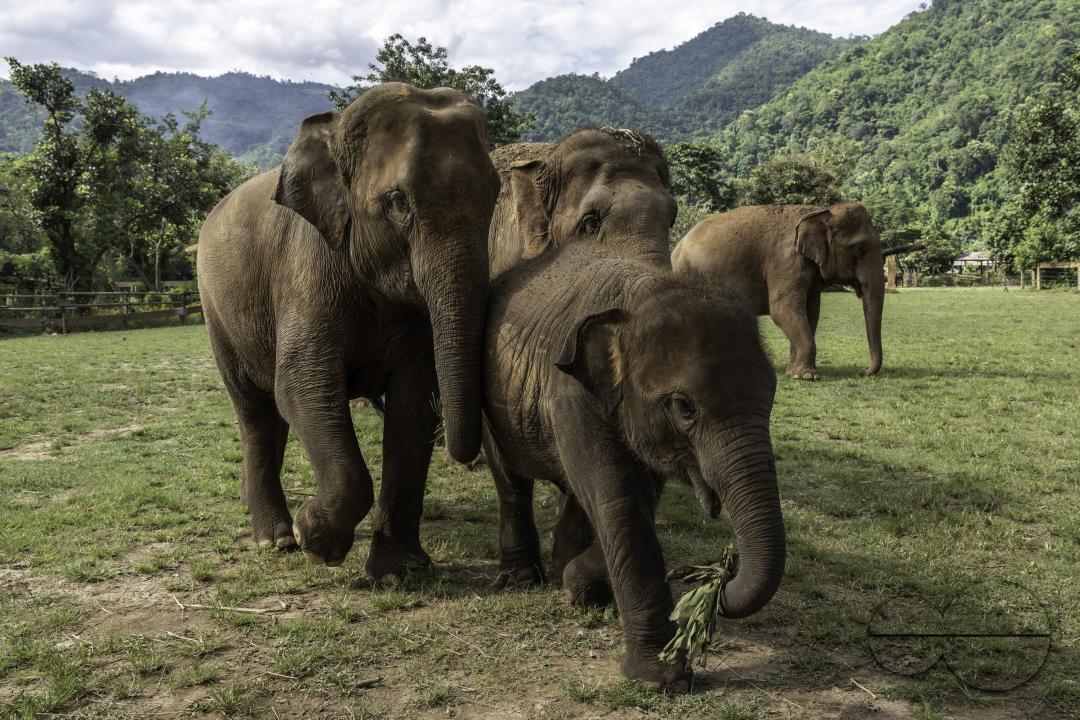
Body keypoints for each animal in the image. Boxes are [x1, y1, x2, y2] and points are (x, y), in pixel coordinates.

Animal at [196, 83, 500, 573]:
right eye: (398, 202)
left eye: (496, 193)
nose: (468, 460)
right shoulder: (307, 270)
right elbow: (302, 386)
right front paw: (314, 540)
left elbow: (414, 404)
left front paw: (400, 572)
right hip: (215, 311)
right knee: (254, 408)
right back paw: (275, 539)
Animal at [482, 241, 785, 690]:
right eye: (683, 407)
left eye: (771, 394)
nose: (721, 575)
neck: (641, 294)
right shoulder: (569, 391)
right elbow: (618, 500)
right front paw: (661, 679)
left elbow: (637, 497)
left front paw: (578, 586)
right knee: (511, 480)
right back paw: (522, 579)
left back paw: (566, 571)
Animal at [671, 203, 885, 380]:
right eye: (860, 248)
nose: (864, 370)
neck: (821, 211)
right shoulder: (785, 260)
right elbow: (783, 309)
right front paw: (809, 376)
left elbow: (810, 312)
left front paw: (794, 373)